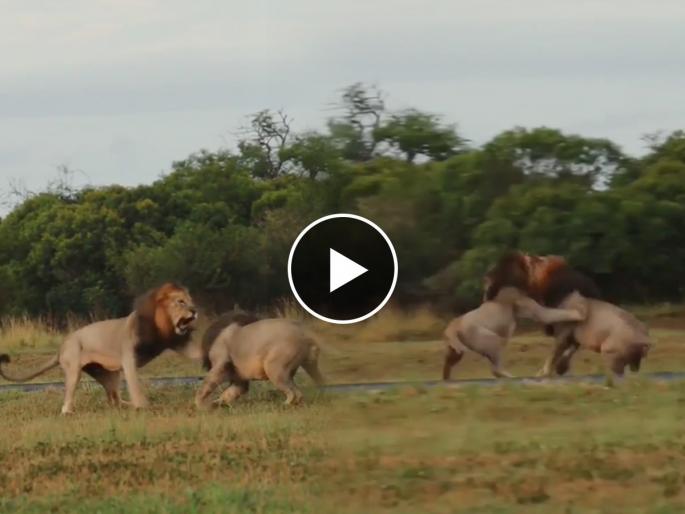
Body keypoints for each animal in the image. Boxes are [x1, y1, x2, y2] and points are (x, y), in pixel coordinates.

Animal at [0, 283, 197, 414]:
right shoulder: (128, 356)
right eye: (180, 301)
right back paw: (68, 412)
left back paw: (126, 405)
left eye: (190, 301)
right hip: (74, 369)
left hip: (108, 375)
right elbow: (134, 383)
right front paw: (142, 405)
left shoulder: (177, 342)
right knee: (68, 398)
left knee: (114, 400)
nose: (194, 310)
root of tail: (62, 345)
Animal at [195, 316, 325, 408]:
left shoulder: (221, 362)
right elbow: (234, 391)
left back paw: (284, 404)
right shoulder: (238, 376)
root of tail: (305, 335)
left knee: (291, 392)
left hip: (275, 366)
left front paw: (199, 404)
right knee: (299, 391)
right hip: (300, 365)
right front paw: (216, 403)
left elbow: (209, 381)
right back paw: (297, 404)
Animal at [443, 287, 586, 380]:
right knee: (495, 369)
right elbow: (550, 314)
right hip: (490, 340)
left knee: (448, 363)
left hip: (456, 351)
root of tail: (453, 327)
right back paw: (512, 377)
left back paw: (446, 379)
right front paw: (580, 312)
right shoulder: (529, 305)